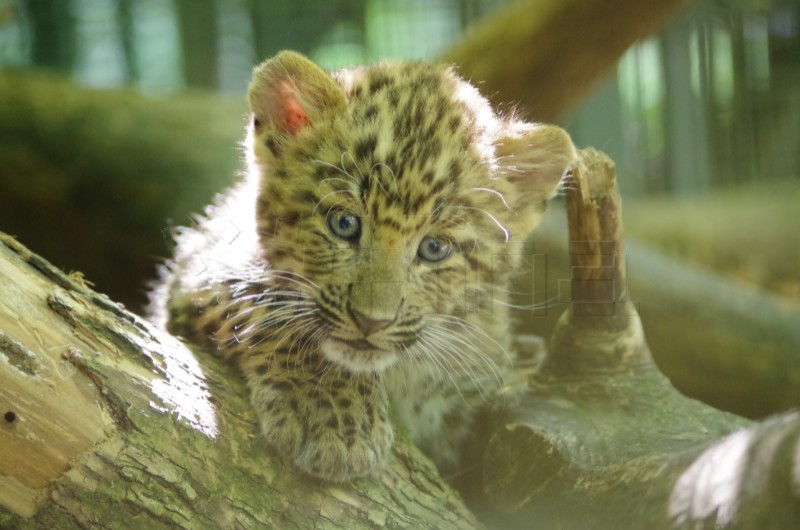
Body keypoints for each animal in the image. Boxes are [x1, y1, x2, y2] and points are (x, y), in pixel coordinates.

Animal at [148, 50, 576, 483]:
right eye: (344, 224)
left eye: (434, 248)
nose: (372, 322)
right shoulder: (201, 266)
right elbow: (270, 304)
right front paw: (329, 413)